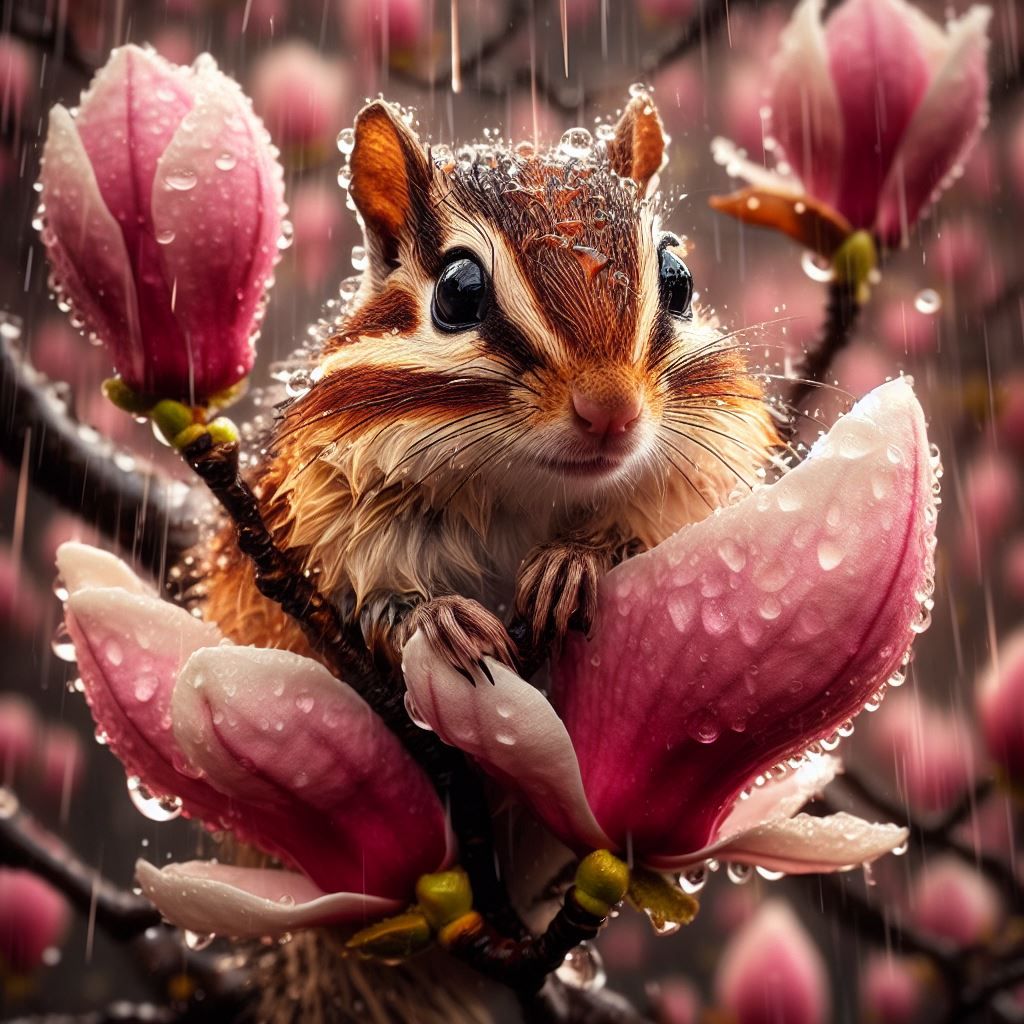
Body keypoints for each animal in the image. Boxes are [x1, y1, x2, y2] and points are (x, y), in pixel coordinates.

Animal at [199, 92, 779, 684]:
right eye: (459, 291)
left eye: (679, 280)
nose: (611, 408)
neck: (519, 494)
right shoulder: (318, 518)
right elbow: (371, 609)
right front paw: (442, 617)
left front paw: (572, 560)